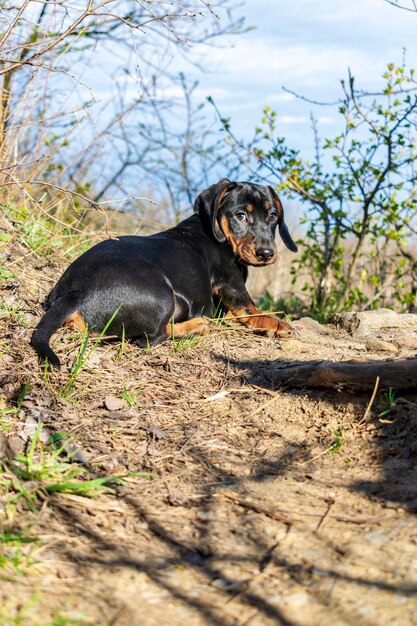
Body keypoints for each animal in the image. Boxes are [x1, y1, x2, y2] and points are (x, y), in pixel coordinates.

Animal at [30, 178, 298, 366]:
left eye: (273, 215)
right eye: (240, 216)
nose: (266, 253)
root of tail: (74, 293)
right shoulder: (231, 284)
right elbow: (252, 309)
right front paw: (276, 324)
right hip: (162, 295)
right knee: (151, 338)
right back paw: (197, 325)